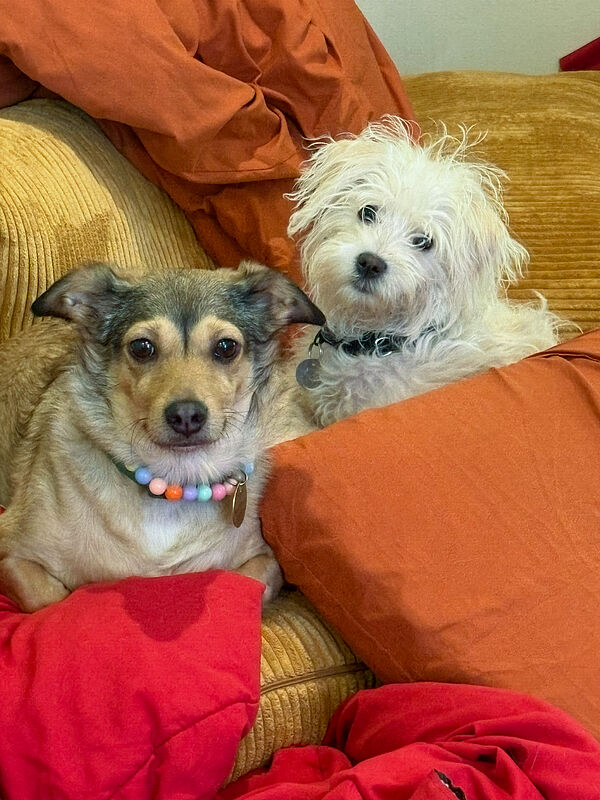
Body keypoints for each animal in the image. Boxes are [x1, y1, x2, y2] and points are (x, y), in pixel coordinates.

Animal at [0, 261, 324, 612]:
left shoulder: (266, 561)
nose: (186, 415)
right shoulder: (13, 554)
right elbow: (48, 599)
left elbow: (246, 584)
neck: (173, 480)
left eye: (226, 347)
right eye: (142, 348)